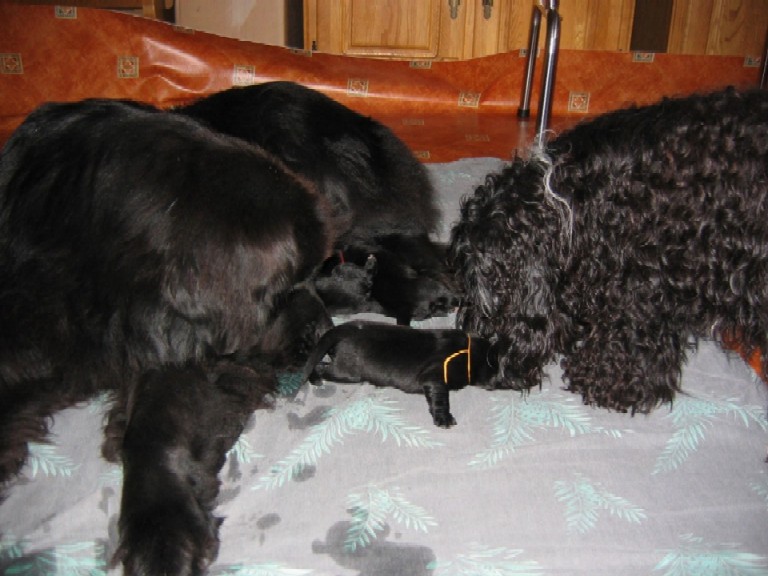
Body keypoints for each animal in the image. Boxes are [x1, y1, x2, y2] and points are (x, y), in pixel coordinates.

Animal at [302, 320, 499, 427]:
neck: (469, 353)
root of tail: (344, 328)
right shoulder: (434, 377)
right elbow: (441, 397)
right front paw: (444, 418)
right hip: (347, 371)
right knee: (319, 366)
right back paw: (315, 379)